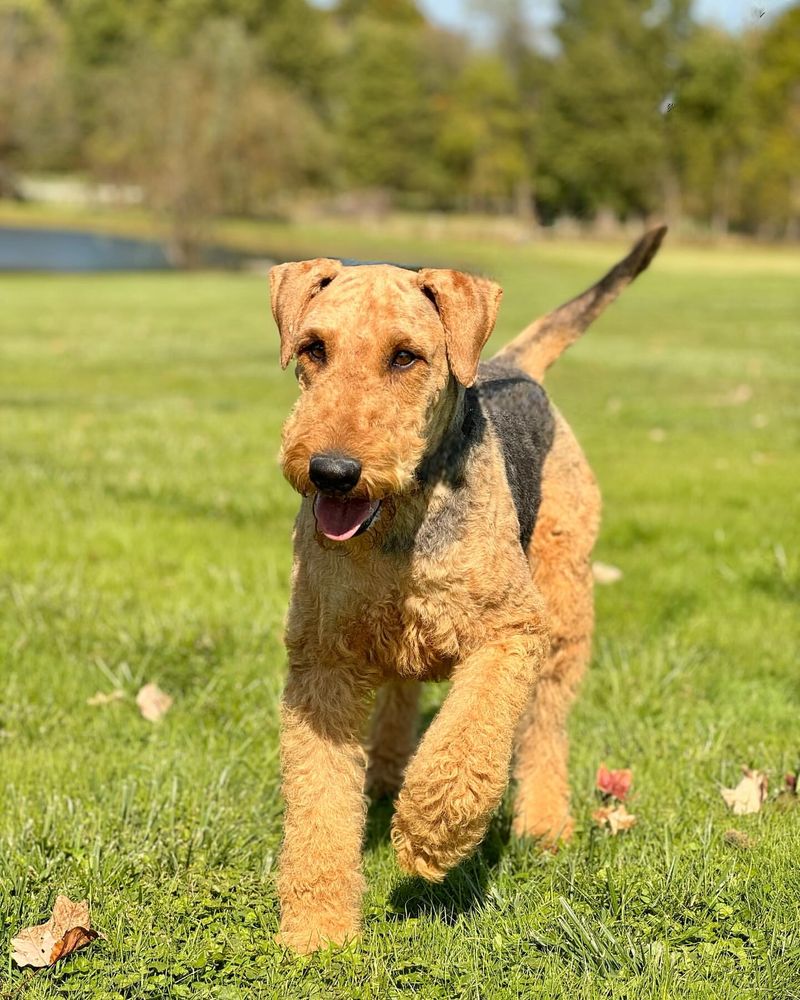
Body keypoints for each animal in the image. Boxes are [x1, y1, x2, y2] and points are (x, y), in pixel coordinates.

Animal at [272, 227, 664, 952]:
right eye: (313, 348)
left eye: (405, 356)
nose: (332, 472)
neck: (400, 520)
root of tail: (511, 362)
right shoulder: (323, 659)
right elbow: (320, 801)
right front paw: (317, 933)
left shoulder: (510, 631)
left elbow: (466, 739)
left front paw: (429, 836)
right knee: (400, 699)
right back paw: (386, 774)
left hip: (562, 608)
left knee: (544, 727)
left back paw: (543, 825)